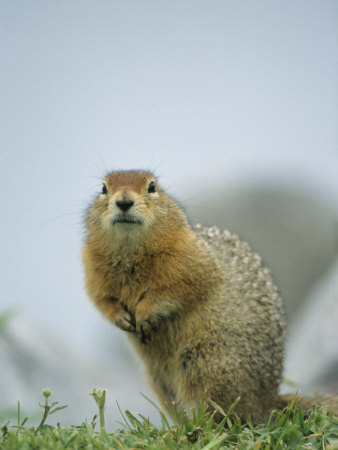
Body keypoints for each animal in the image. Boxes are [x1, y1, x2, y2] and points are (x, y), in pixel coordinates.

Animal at [83, 169, 286, 422]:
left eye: (152, 186)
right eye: (103, 188)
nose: (124, 201)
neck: (131, 251)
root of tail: (269, 404)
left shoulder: (188, 261)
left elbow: (176, 290)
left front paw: (145, 314)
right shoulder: (93, 271)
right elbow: (102, 299)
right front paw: (121, 317)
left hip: (206, 366)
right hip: (159, 379)